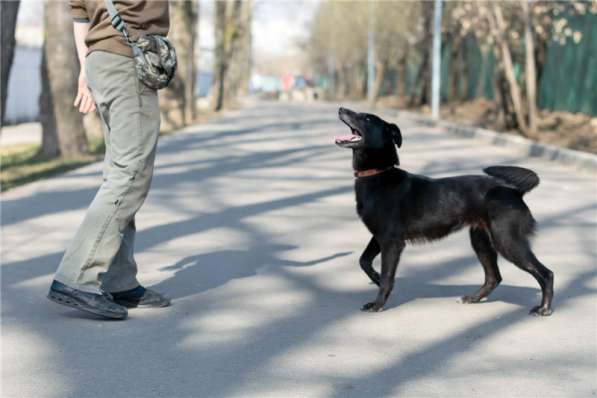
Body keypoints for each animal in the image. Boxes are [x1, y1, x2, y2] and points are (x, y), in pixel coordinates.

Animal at [336, 107, 556, 316]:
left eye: (367, 118)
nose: (341, 109)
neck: (378, 174)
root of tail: (514, 191)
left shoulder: (391, 242)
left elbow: (386, 277)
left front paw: (378, 304)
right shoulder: (379, 236)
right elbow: (364, 260)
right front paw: (375, 277)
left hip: (507, 241)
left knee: (546, 273)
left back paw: (544, 308)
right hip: (481, 241)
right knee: (494, 277)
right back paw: (473, 298)